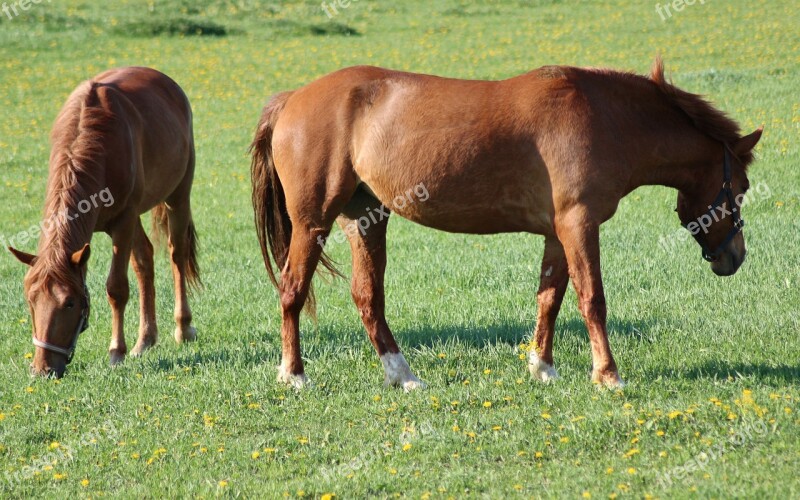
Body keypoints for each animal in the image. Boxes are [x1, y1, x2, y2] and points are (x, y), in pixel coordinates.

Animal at [9, 67, 200, 378]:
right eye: (30, 299)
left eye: (70, 302)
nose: (43, 369)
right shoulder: (125, 221)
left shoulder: (123, 222)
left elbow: (116, 288)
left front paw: (116, 352)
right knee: (145, 260)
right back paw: (145, 339)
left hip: (178, 195)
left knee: (177, 254)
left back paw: (183, 328)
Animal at [250, 56, 764, 388]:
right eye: (740, 187)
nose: (735, 258)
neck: (604, 118)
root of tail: (292, 99)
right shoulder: (580, 225)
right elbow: (592, 299)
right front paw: (608, 375)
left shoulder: (558, 233)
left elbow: (550, 299)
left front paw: (543, 367)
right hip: (313, 223)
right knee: (293, 289)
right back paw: (294, 375)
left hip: (365, 220)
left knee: (367, 298)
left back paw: (404, 376)